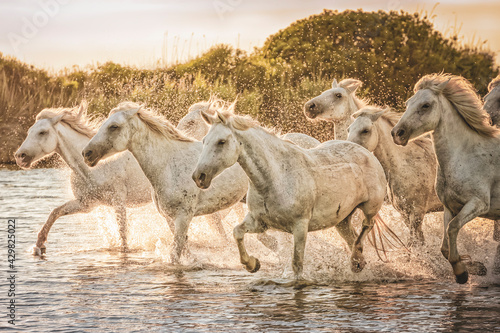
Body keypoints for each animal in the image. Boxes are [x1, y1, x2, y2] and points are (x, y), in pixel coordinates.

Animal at [15, 102, 152, 253]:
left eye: (42, 132)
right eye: (29, 132)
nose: (19, 157)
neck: (92, 170)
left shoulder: (118, 201)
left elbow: (123, 234)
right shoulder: (86, 204)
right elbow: (55, 212)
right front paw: (39, 245)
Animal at [82, 101, 250, 262]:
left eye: (114, 126)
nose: (87, 153)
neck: (169, 165)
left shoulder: (183, 217)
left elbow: (175, 256)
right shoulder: (169, 218)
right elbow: (184, 251)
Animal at [191, 106, 386, 278]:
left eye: (221, 141)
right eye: (204, 140)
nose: (199, 177)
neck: (276, 177)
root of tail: (365, 152)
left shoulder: (300, 227)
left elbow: (297, 264)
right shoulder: (259, 222)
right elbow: (237, 232)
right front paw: (252, 264)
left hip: (370, 207)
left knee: (366, 226)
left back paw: (356, 260)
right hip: (342, 220)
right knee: (352, 237)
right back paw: (357, 264)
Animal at [390, 73, 500, 282]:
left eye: (425, 105)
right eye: (408, 103)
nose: (397, 133)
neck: (464, 157)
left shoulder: (478, 204)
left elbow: (452, 228)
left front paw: (462, 272)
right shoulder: (449, 207)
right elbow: (444, 246)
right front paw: (470, 268)